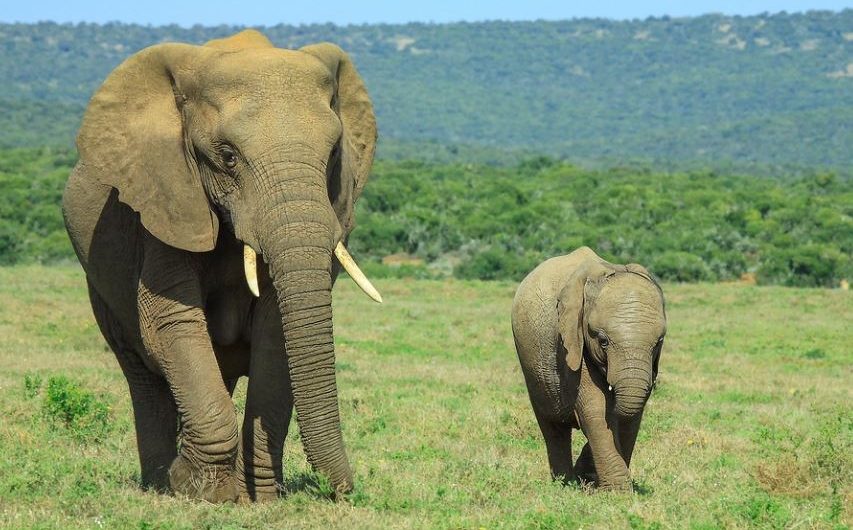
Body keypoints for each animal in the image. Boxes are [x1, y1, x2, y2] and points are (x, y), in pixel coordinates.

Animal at [62, 29, 382, 503]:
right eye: (228, 156)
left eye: (332, 156)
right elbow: (171, 323)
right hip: (101, 290)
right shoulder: (167, 196)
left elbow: (276, 332)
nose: (343, 490)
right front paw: (197, 490)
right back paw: (158, 483)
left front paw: (259, 498)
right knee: (143, 375)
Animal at [511, 247, 666, 490]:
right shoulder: (570, 340)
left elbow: (632, 415)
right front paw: (616, 491)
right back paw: (565, 483)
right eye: (603, 341)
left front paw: (592, 478)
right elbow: (595, 407)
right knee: (552, 427)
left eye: (659, 342)